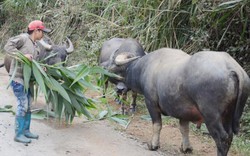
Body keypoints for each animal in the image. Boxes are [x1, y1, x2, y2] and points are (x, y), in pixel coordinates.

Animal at [108, 39, 250, 156]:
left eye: (116, 69)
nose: (119, 89)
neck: (143, 68)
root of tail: (232, 68)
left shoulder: (151, 103)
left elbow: (157, 125)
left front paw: (153, 145)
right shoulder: (184, 110)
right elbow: (184, 128)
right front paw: (186, 148)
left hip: (212, 115)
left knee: (222, 137)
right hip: (228, 115)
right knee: (230, 136)